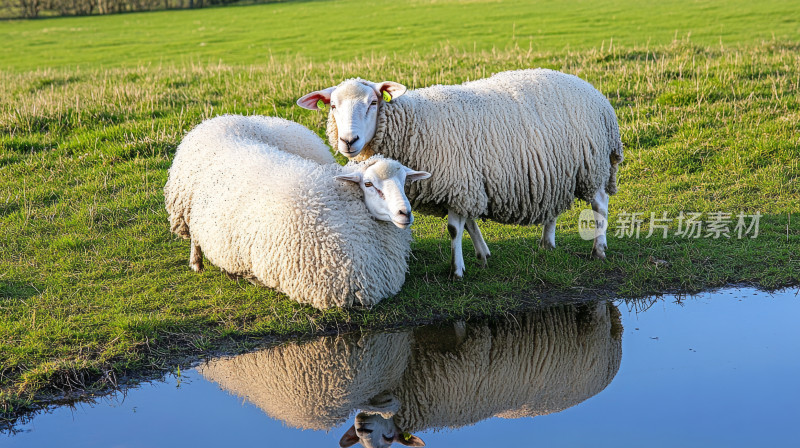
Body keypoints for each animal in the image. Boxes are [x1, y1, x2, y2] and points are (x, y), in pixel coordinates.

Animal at [163, 114, 434, 308]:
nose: (405, 214)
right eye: (368, 184)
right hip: (185, 208)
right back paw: (197, 264)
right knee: (195, 238)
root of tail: (226, 118)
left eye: (405, 181)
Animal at [296, 67, 620, 280]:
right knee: (553, 205)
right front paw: (483, 255)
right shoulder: (465, 184)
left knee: (600, 204)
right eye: (333, 105)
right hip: (555, 170)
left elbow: (455, 229)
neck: (413, 124)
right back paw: (547, 244)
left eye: (373, 102)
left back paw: (599, 250)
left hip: (592, 165)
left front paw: (457, 271)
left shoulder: (459, 180)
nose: (348, 141)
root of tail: (594, 93)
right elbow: (470, 223)